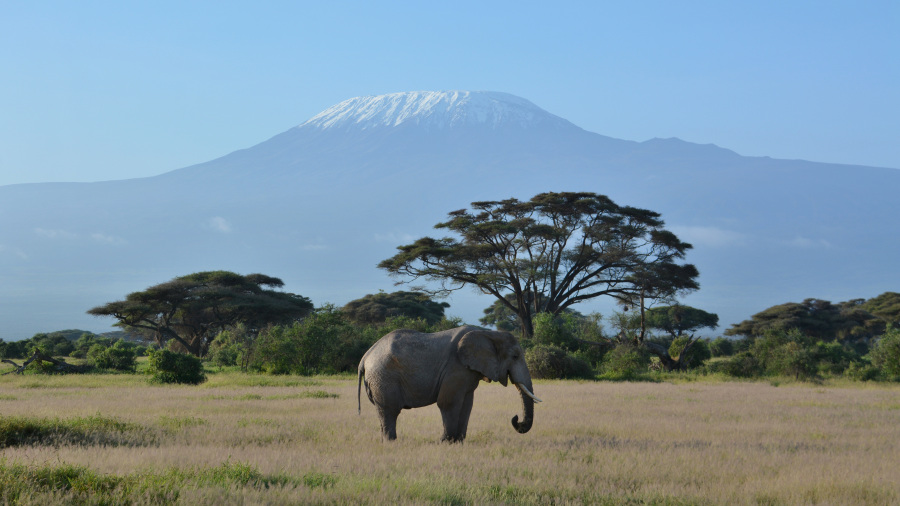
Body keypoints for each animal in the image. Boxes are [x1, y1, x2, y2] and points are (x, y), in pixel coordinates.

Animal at [357, 325, 541, 442]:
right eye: (515, 356)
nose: (516, 418)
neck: (489, 333)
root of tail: (365, 357)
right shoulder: (455, 366)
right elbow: (448, 402)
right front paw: (446, 441)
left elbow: (467, 404)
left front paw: (459, 442)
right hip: (384, 377)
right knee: (390, 410)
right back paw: (392, 442)